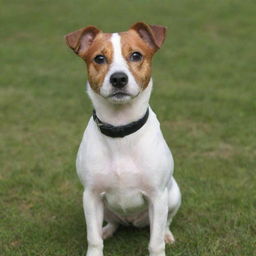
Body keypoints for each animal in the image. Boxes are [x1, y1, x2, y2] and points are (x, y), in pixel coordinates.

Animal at [66, 22, 182, 256]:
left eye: (136, 55)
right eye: (99, 58)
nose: (118, 78)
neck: (120, 130)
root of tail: (132, 221)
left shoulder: (157, 196)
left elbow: (155, 243)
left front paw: (160, 244)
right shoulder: (91, 196)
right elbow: (93, 239)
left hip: (173, 196)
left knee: (165, 222)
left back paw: (167, 234)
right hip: (105, 209)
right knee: (113, 222)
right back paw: (107, 230)